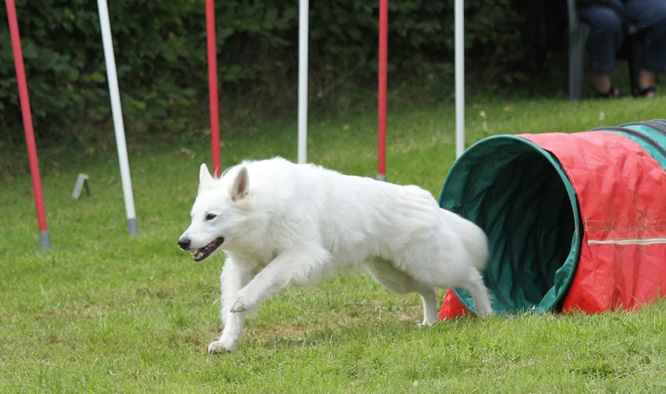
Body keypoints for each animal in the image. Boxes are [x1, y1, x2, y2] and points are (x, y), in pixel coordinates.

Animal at [179, 159, 490, 352]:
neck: (263, 207)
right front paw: (226, 343)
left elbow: (263, 279)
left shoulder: (303, 252)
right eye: (194, 217)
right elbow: (234, 310)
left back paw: (487, 314)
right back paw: (429, 323)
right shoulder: (242, 267)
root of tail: (428, 201)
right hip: (395, 275)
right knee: (427, 291)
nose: (183, 242)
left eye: (211, 217)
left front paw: (243, 300)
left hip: (431, 265)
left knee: (471, 277)